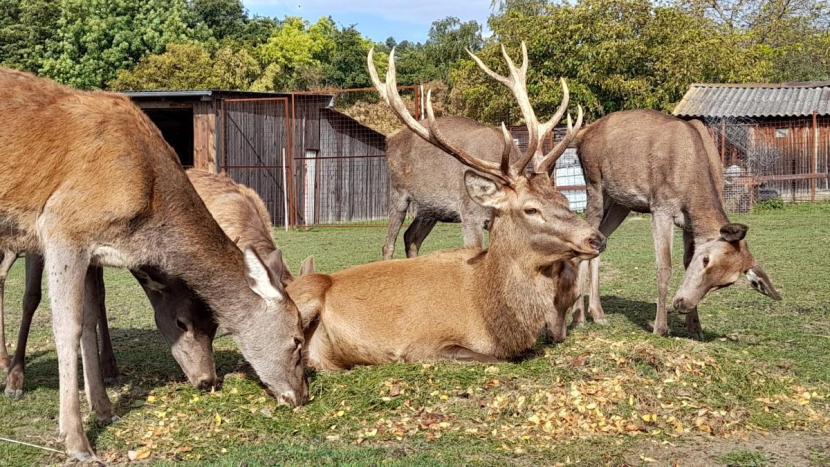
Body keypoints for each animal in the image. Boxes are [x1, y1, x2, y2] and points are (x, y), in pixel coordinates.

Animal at [284, 44, 604, 372]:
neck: (494, 318)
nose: (596, 238)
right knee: (388, 242)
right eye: (530, 209)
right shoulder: (424, 341)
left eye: (564, 201)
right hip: (395, 198)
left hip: (429, 210)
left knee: (411, 237)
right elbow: (488, 356)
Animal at [572, 108, 780, 338]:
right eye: (706, 259)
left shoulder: (689, 224)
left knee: (601, 241)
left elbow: (686, 262)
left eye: (727, 283)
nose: (682, 304)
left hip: (620, 203)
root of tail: (583, 134)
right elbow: (665, 266)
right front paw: (660, 327)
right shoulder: (660, 208)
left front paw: (695, 327)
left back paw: (598, 313)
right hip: (594, 183)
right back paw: (579, 318)